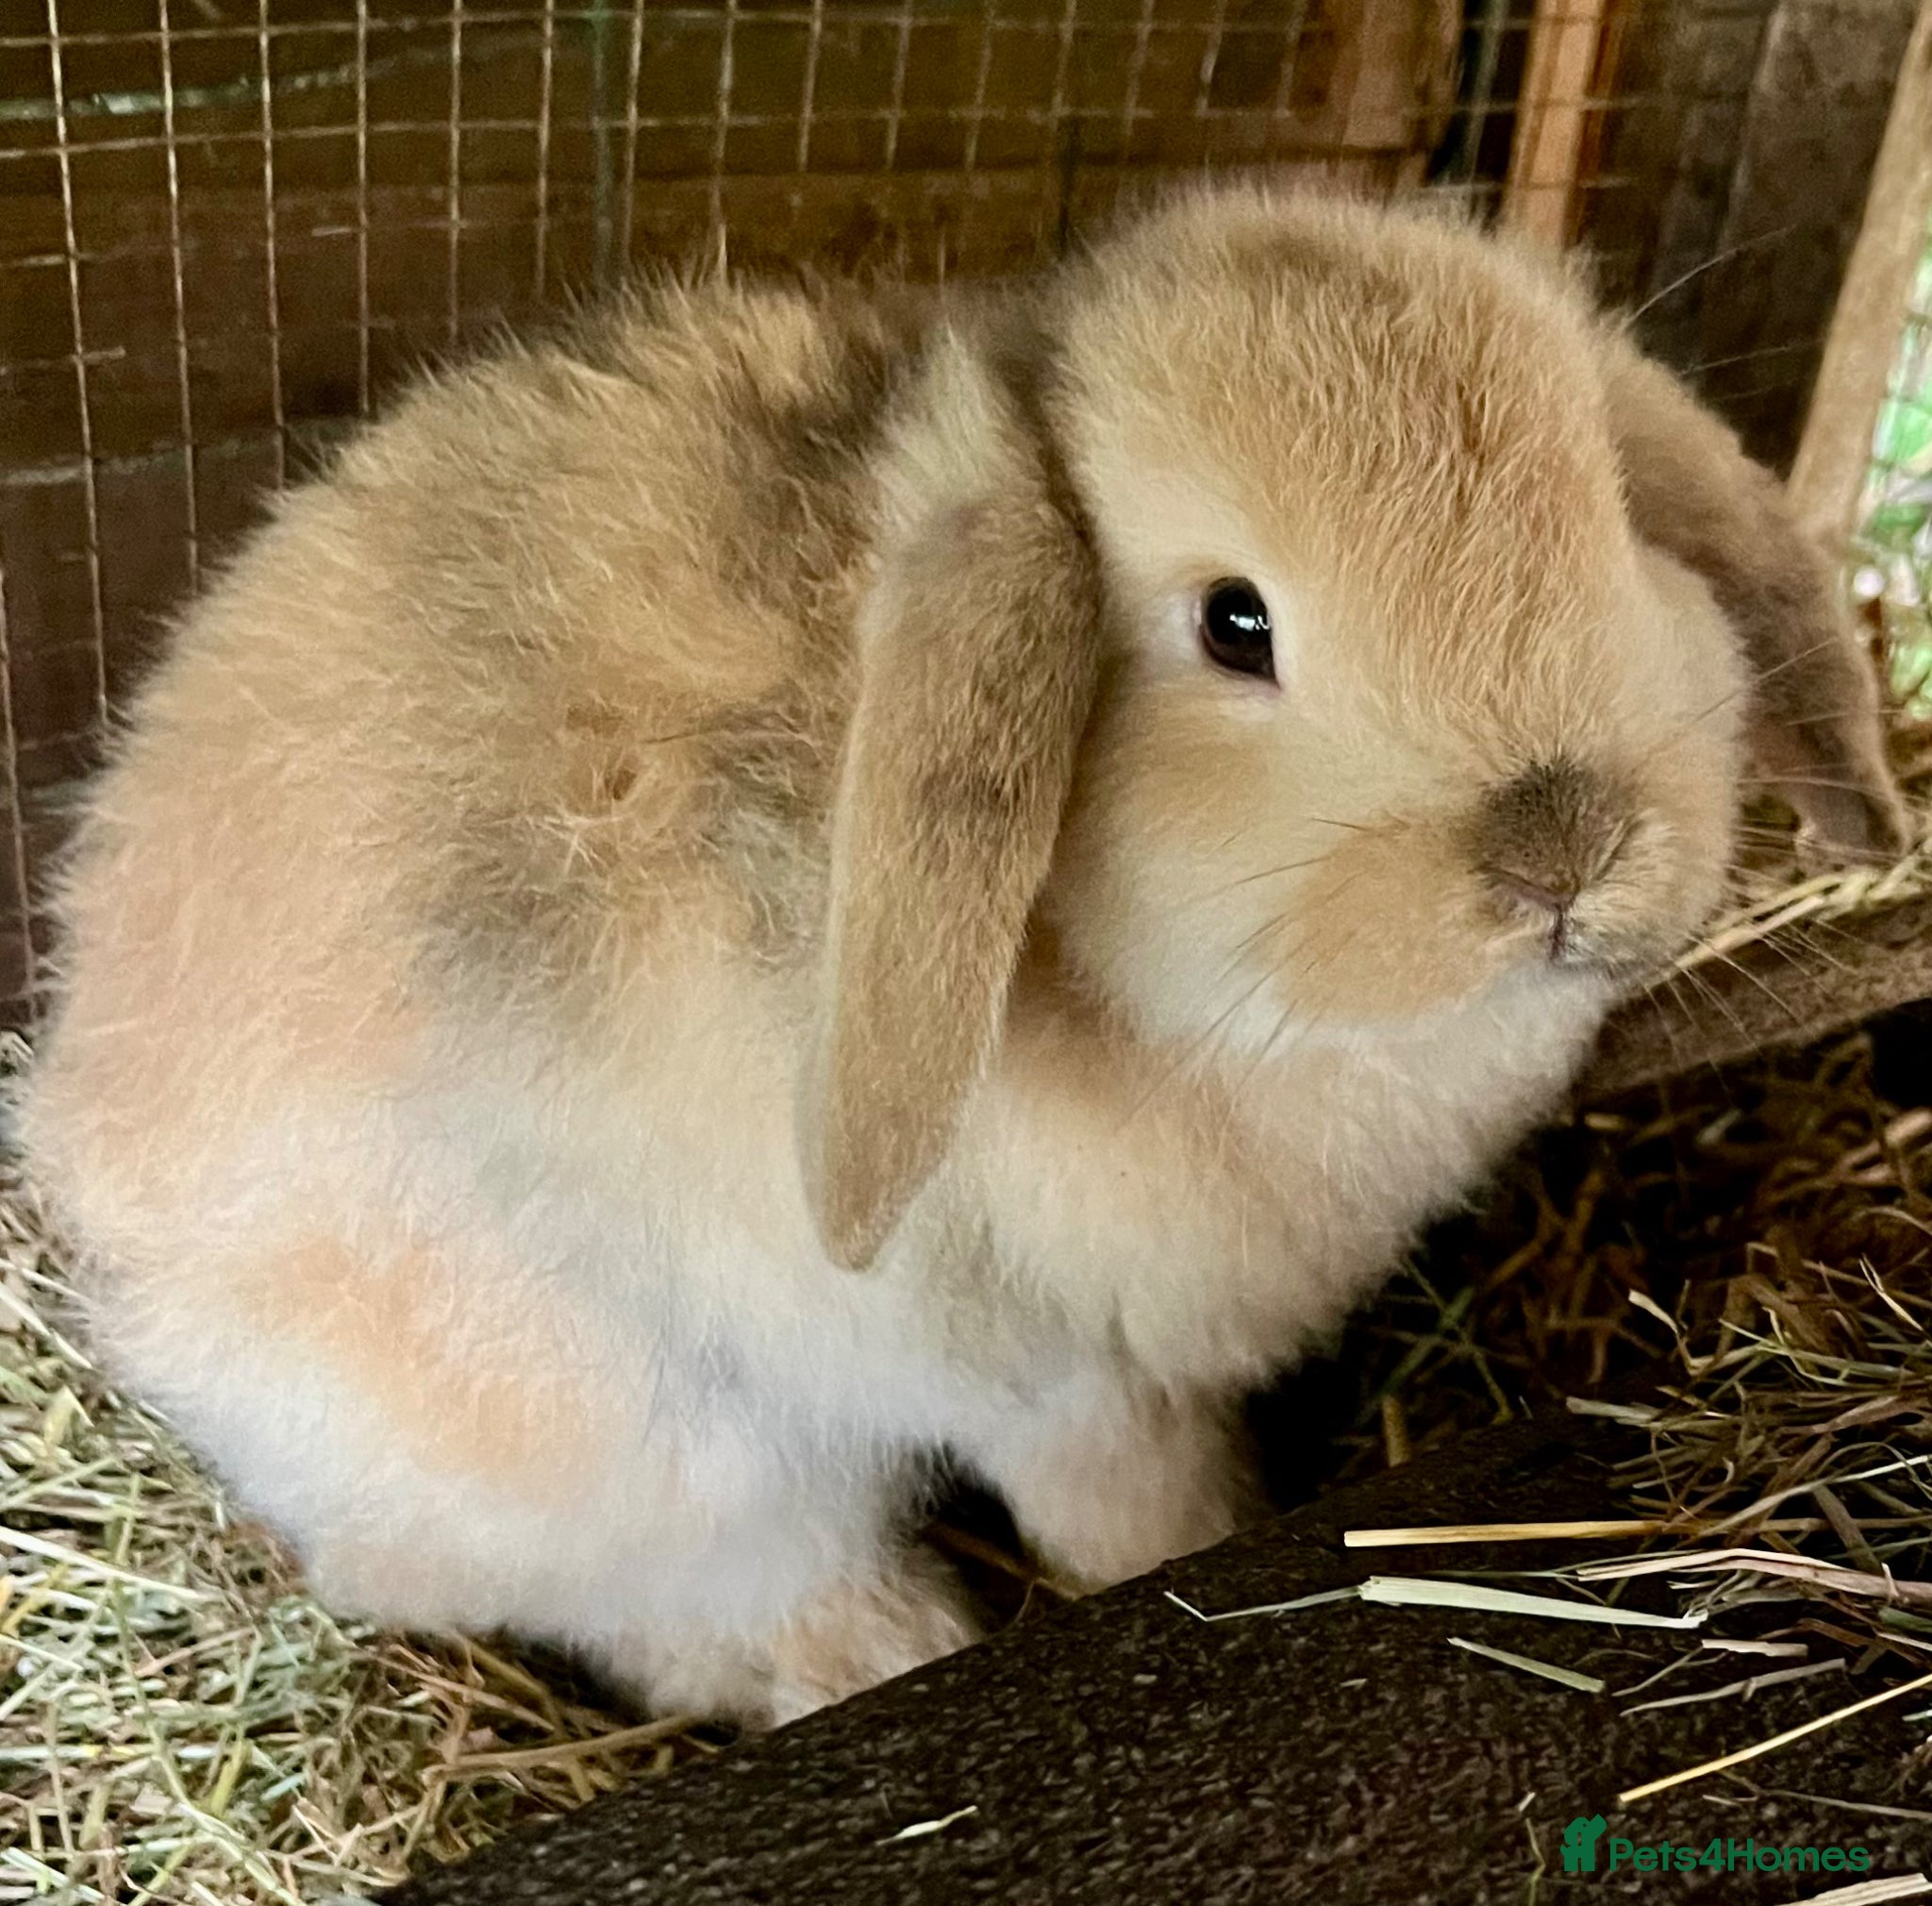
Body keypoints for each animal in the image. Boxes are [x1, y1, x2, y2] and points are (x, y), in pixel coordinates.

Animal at [21, 186, 1905, 1728]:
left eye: (1607, 511)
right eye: (1234, 623)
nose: (1561, 850)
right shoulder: (1058, 1380)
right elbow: (1127, 1509)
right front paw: (1184, 1563)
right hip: (648, 1447)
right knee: (732, 1609)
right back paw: (904, 1648)